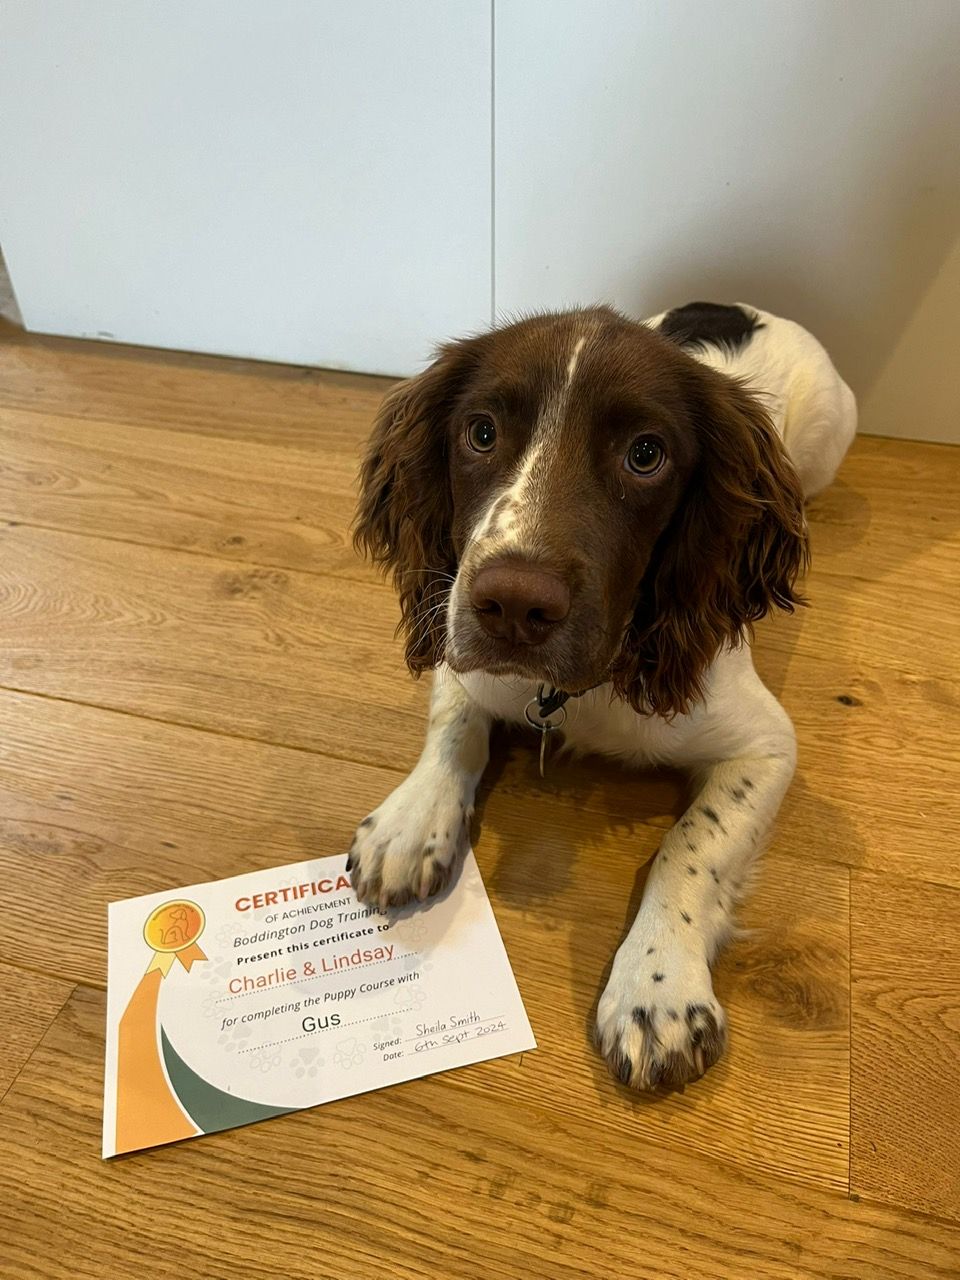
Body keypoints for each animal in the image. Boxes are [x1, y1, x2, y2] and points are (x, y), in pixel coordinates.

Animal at [348, 299, 855, 1090]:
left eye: (645, 455)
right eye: (481, 432)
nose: (512, 606)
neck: (574, 690)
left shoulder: (766, 745)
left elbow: (692, 844)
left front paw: (659, 987)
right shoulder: (461, 646)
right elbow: (455, 730)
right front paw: (410, 822)